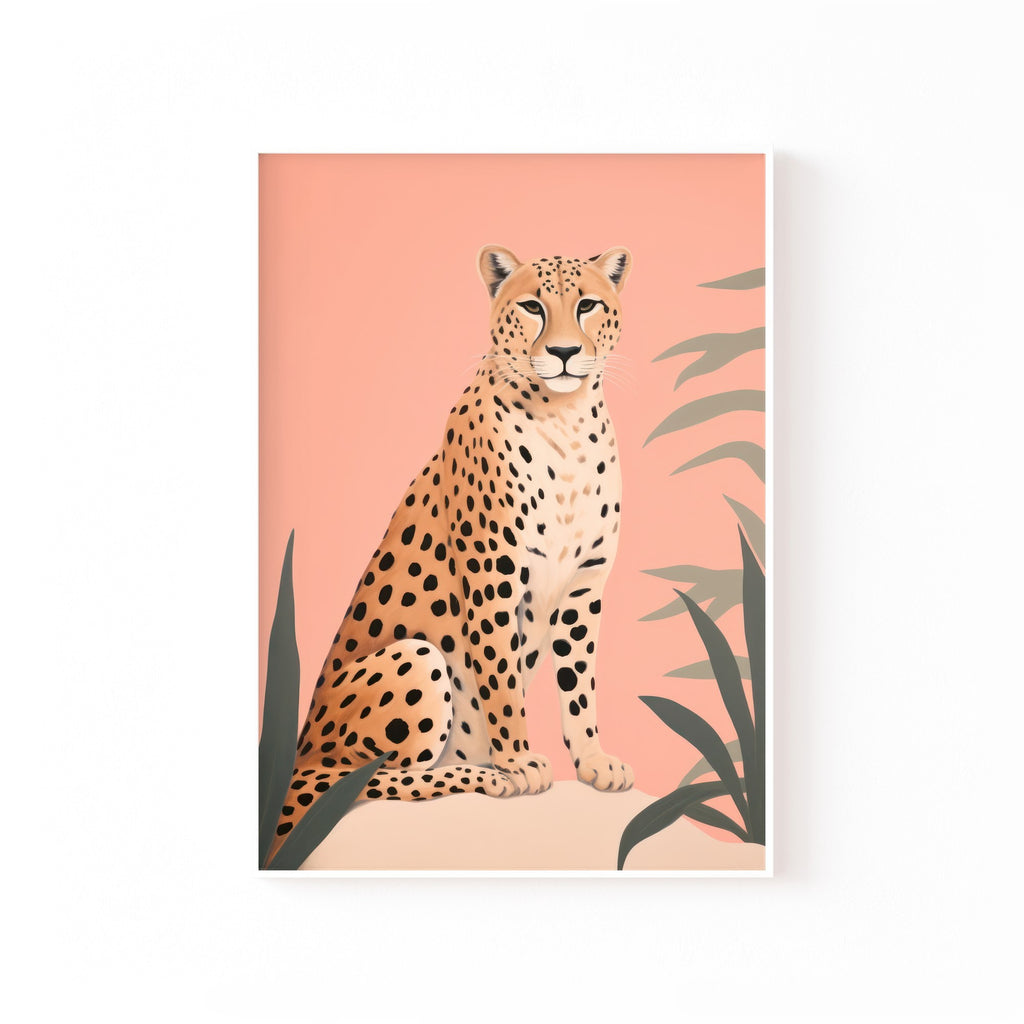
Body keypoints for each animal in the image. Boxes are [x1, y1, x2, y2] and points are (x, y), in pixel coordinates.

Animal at [269, 245, 636, 860]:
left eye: (586, 304)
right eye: (532, 306)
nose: (564, 353)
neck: (565, 419)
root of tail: (298, 758)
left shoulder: (584, 586)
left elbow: (579, 683)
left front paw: (592, 761)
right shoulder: (494, 574)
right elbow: (501, 678)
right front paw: (517, 760)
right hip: (414, 658)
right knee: (362, 781)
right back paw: (487, 775)